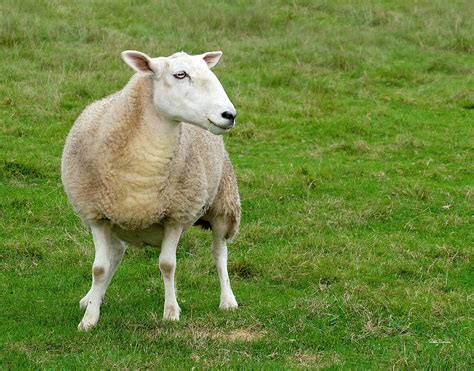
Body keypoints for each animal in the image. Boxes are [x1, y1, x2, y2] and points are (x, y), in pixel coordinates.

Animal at [61, 49, 241, 332]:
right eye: (180, 74)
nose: (229, 115)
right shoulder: (97, 215)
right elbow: (99, 268)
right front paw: (89, 318)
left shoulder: (176, 216)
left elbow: (167, 265)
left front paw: (171, 312)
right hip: (115, 221)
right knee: (116, 255)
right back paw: (91, 298)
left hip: (223, 204)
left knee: (219, 252)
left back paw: (228, 300)